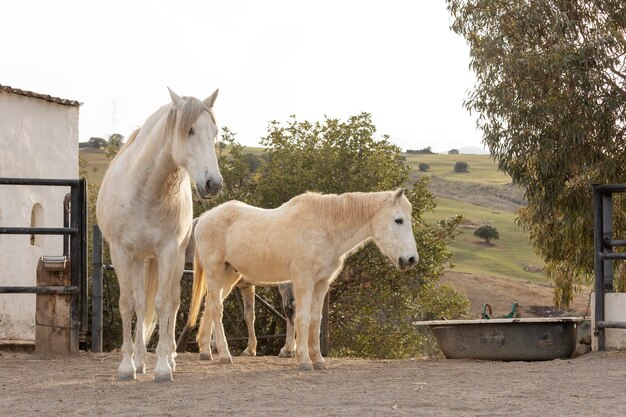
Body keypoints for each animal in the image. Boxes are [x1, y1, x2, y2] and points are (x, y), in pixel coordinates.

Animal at [96, 87, 223, 380]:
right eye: (189, 130)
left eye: (214, 131)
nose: (213, 184)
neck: (145, 192)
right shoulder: (121, 253)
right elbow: (128, 304)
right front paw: (127, 366)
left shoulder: (167, 251)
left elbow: (164, 303)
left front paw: (164, 367)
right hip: (141, 260)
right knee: (142, 304)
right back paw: (141, 360)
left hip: (173, 259)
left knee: (173, 303)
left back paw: (170, 357)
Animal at [188, 190, 416, 368]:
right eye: (398, 220)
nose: (411, 259)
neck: (325, 227)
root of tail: (204, 217)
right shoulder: (303, 282)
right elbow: (302, 318)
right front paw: (304, 360)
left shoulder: (321, 284)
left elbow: (315, 319)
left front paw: (318, 360)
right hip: (216, 273)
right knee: (217, 309)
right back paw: (225, 355)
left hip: (229, 277)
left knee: (210, 306)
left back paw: (206, 352)